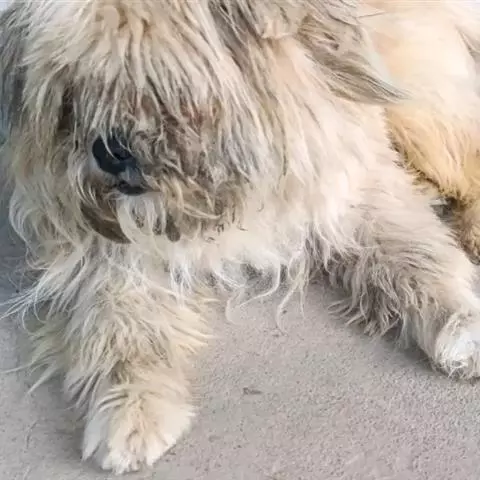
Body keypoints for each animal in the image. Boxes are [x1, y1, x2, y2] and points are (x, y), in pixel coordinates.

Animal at [2, 0, 480, 474]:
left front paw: (462, 326)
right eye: (74, 88)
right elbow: (121, 326)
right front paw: (131, 410)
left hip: (421, 103)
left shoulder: (350, 188)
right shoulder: (108, 255)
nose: (108, 151)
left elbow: (414, 257)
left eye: (155, 83)